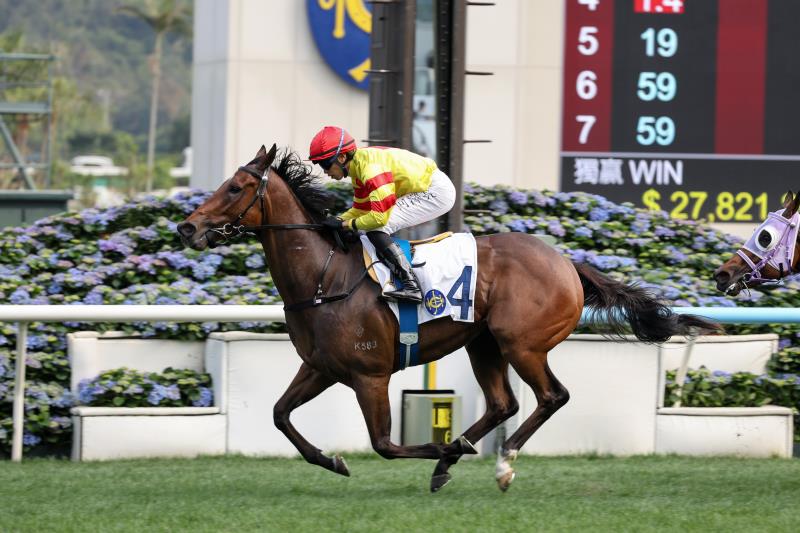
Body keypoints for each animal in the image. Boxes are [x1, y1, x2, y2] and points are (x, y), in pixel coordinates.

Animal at [177, 144, 720, 492]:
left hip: (522, 343)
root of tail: (568, 263)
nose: (187, 227)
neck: (323, 276)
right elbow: (279, 414)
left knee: (551, 396)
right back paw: (459, 453)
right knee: (503, 404)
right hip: (483, 343)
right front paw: (332, 460)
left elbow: (384, 444)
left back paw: (499, 463)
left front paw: (439, 453)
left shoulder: (369, 375)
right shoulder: (320, 367)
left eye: (236, 187)